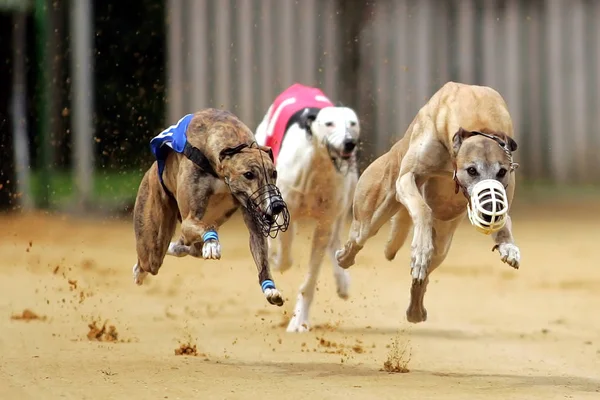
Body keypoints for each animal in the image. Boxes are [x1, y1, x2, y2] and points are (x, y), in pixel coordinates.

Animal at [132, 108, 290, 304]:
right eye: (248, 174)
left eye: (274, 173)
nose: (276, 205)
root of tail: (151, 169)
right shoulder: (190, 218)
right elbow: (205, 227)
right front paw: (213, 243)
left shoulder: (252, 217)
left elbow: (260, 250)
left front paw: (270, 289)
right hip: (154, 238)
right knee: (150, 260)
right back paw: (139, 272)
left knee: (187, 247)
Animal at [254, 83, 358, 332]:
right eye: (329, 123)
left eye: (352, 123)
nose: (349, 142)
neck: (318, 166)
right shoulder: (284, 211)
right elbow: (283, 257)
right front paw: (274, 257)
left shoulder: (325, 223)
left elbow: (310, 279)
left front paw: (299, 320)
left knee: (334, 240)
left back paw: (342, 280)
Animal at [338, 81, 520, 322]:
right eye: (471, 170)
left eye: (502, 172)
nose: (491, 208)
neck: (478, 118)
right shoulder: (407, 177)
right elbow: (423, 209)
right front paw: (420, 251)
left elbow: (505, 220)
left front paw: (508, 245)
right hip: (376, 208)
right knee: (358, 237)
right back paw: (344, 257)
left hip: (442, 240)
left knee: (424, 273)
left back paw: (416, 310)